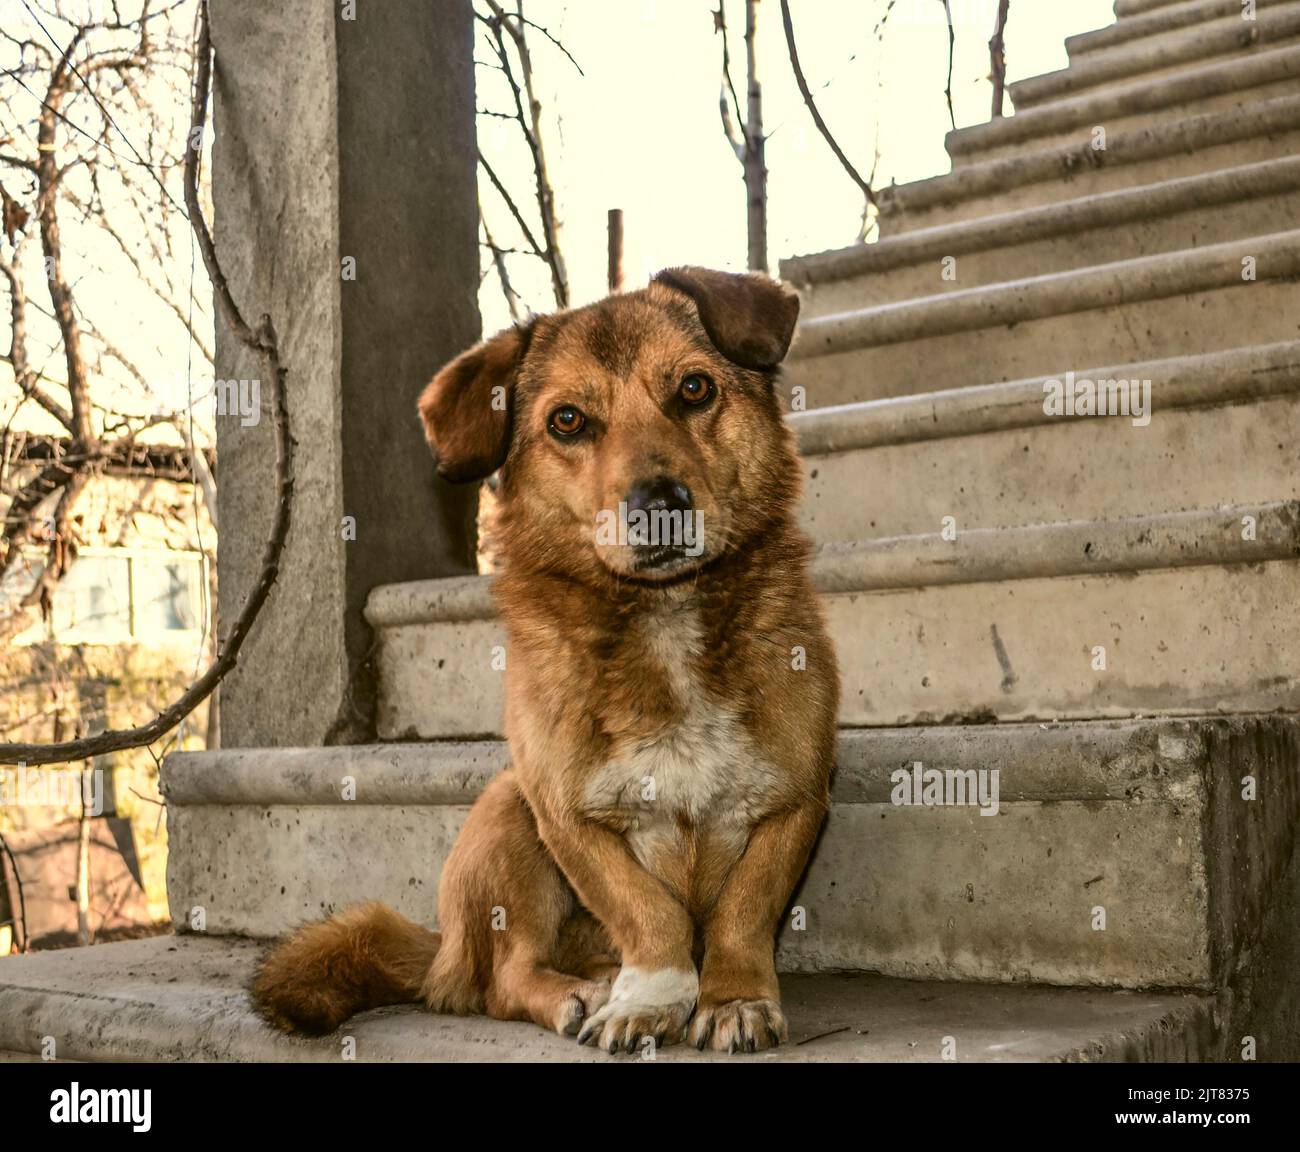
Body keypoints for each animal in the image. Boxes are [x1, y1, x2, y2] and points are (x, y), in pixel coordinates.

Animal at [250, 267, 842, 1055]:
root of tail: (442, 949)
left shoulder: (797, 801)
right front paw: (650, 998)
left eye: (694, 389)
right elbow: (648, 914)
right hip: (508, 814)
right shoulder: (565, 818)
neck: (664, 619)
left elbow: (743, 913)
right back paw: (578, 992)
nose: (661, 504)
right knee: (503, 979)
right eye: (567, 421)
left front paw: (734, 996)